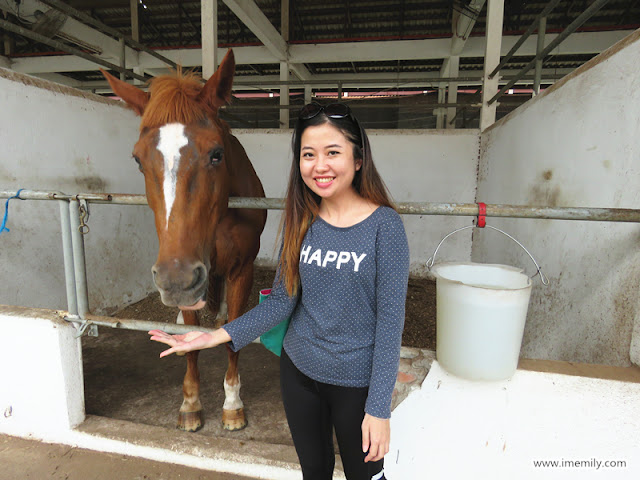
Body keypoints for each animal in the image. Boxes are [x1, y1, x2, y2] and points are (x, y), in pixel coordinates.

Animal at [101, 50, 266, 434]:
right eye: (138, 159)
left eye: (217, 153)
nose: (175, 281)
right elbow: (192, 341)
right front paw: (190, 404)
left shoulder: (241, 270)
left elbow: (233, 338)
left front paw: (232, 406)